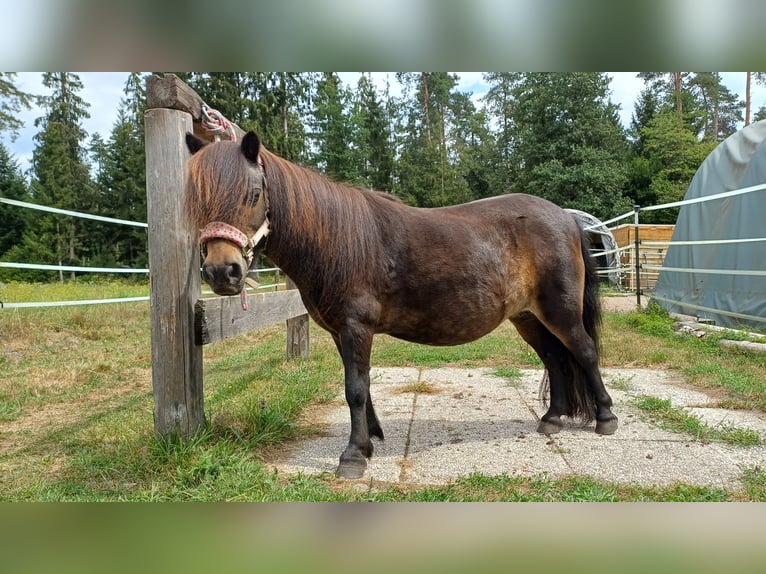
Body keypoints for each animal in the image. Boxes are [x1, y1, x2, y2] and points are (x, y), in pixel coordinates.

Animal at [183, 131, 618, 479]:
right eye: (198, 199)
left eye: (254, 194)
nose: (222, 272)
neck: (337, 239)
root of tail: (565, 217)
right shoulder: (342, 331)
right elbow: (360, 385)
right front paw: (369, 440)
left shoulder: (356, 327)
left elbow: (355, 389)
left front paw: (353, 456)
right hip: (528, 316)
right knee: (554, 358)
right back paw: (552, 419)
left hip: (560, 311)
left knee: (584, 352)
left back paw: (606, 418)